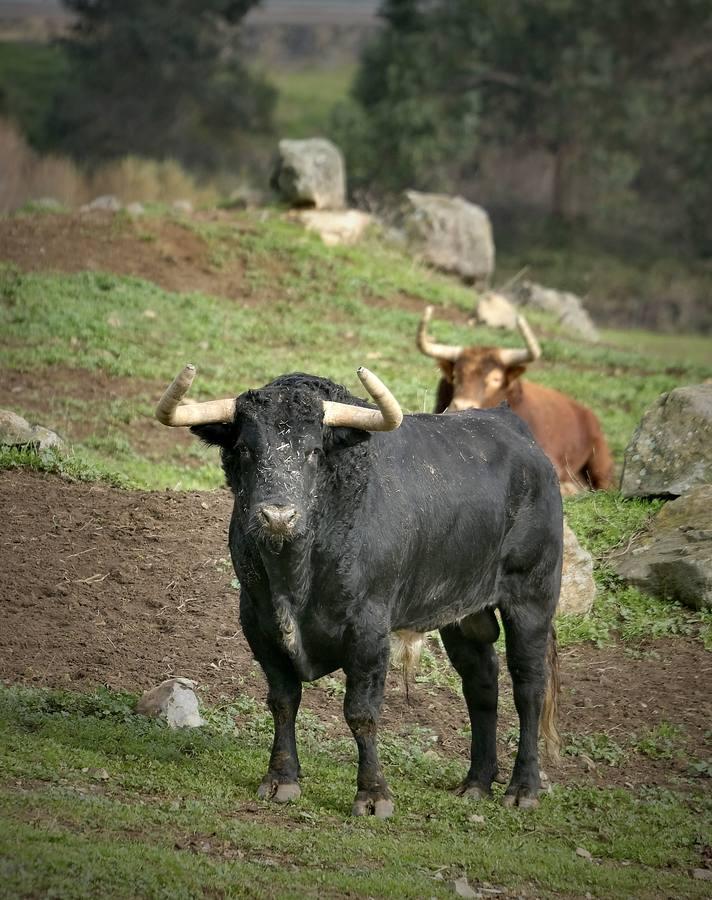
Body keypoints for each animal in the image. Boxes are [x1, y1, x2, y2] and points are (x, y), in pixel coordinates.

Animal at [178, 370, 560, 816]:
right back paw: (477, 783)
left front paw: (373, 794)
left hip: (532, 598)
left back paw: (523, 787)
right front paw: (281, 778)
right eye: (243, 449)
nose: (277, 516)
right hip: (461, 613)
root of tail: (516, 431)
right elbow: (283, 700)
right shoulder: (257, 624)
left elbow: (361, 712)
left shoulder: (369, 629)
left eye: (312, 451)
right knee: (481, 681)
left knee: (529, 686)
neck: (295, 578)